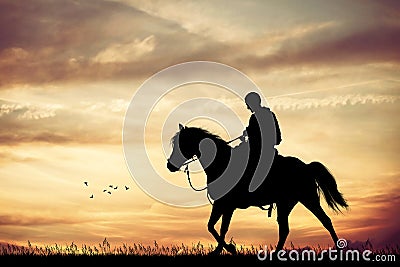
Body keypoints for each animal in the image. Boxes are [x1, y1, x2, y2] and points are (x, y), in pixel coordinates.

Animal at [166, 124, 346, 256]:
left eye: (181, 143)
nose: (169, 166)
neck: (222, 164)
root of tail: (307, 167)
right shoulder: (223, 205)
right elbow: (216, 227)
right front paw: (221, 250)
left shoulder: (225, 205)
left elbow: (216, 227)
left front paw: (229, 249)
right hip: (287, 203)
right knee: (287, 228)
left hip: (308, 199)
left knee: (324, 221)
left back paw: (338, 250)